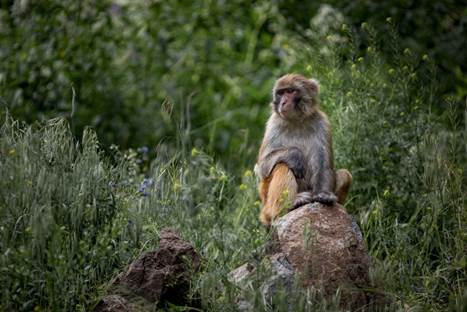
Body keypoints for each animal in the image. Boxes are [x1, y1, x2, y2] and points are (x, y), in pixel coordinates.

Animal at [256, 73, 352, 225]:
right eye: (281, 93)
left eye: (290, 91)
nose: (283, 102)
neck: (296, 121)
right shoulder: (273, 124)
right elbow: (263, 167)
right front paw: (295, 154)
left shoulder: (323, 123)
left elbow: (323, 166)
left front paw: (324, 195)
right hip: (267, 202)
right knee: (282, 165)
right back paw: (289, 205)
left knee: (345, 174)